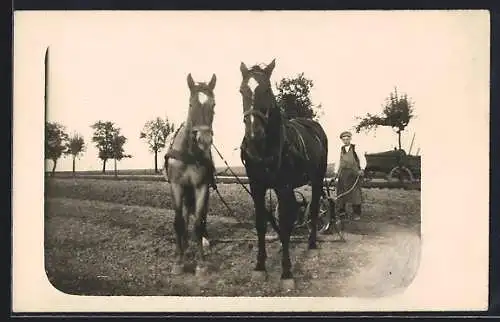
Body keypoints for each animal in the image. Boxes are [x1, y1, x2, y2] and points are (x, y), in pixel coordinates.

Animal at [164, 73, 217, 276]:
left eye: (213, 104)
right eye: (191, 104)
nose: (205, 140)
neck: (189, 152)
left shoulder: (201, 186)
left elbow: (199, 223)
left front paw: (201, 264)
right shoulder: (177, 185)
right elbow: (179, 222)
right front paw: (179, 261)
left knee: (198, 217)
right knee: (183, 217)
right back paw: (182, 246)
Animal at [238, 58, 328, 290]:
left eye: (267, 89)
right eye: (242, 90)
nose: (254, 133)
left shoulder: (283, 187)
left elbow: (287, 223)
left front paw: (287, 272)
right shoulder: (256, 186)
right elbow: (261, 224)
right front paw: (260, 267)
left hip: (317, 179)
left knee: (314, 208)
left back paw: (312, 244)